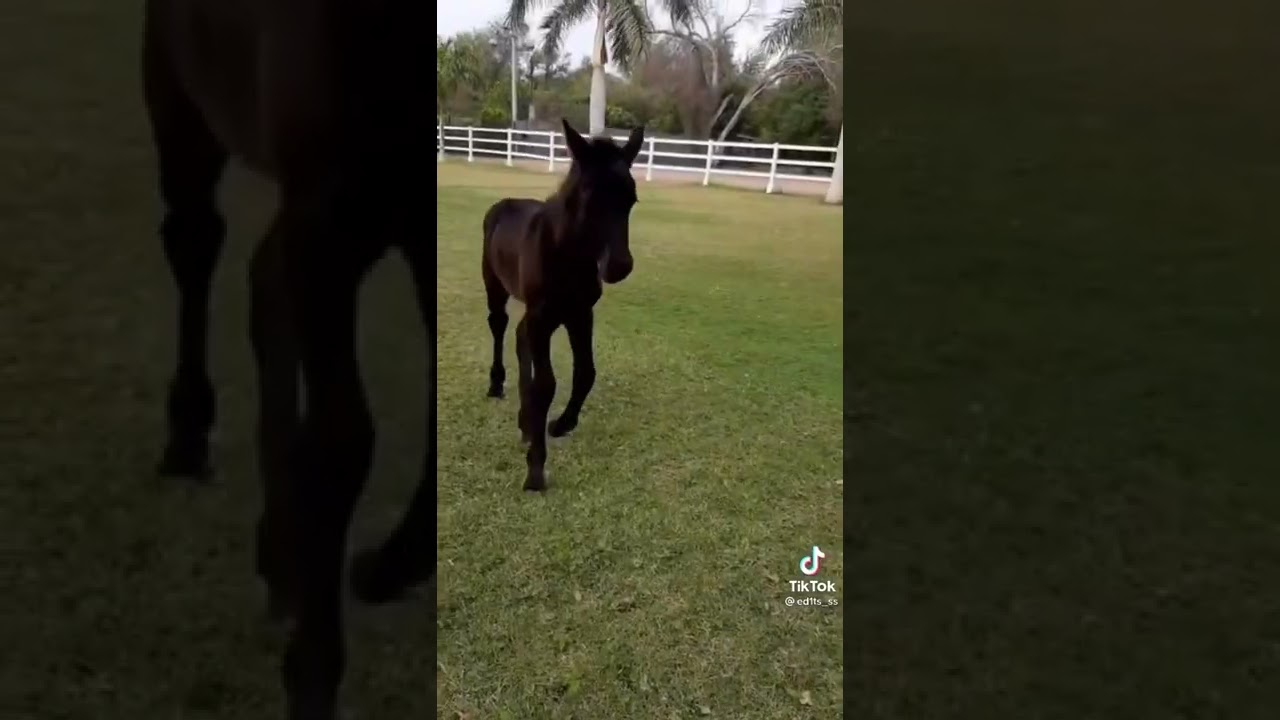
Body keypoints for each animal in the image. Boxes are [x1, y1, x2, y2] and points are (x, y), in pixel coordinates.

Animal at [142, 1, 433, 718]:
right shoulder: (327, 214)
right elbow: (339, 442)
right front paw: (313, 672)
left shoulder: (411, 215)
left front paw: (387, 567)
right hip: (182, 110)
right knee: (196, 241)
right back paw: (188, 441)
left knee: (263, 282)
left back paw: (281, 552)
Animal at [481, 119, 645, 492]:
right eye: (588, 196)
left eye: (631, 199)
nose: (619, 266)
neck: (568, 256)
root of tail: (504, 203)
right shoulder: (543, 315)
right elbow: (546, 385)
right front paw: (535, 471)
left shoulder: (580, 314)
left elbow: (585, 372)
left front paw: (559, 425)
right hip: (496, 287)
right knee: (499, 326)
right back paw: (497, 387)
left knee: (520, 337)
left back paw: (526, 422)